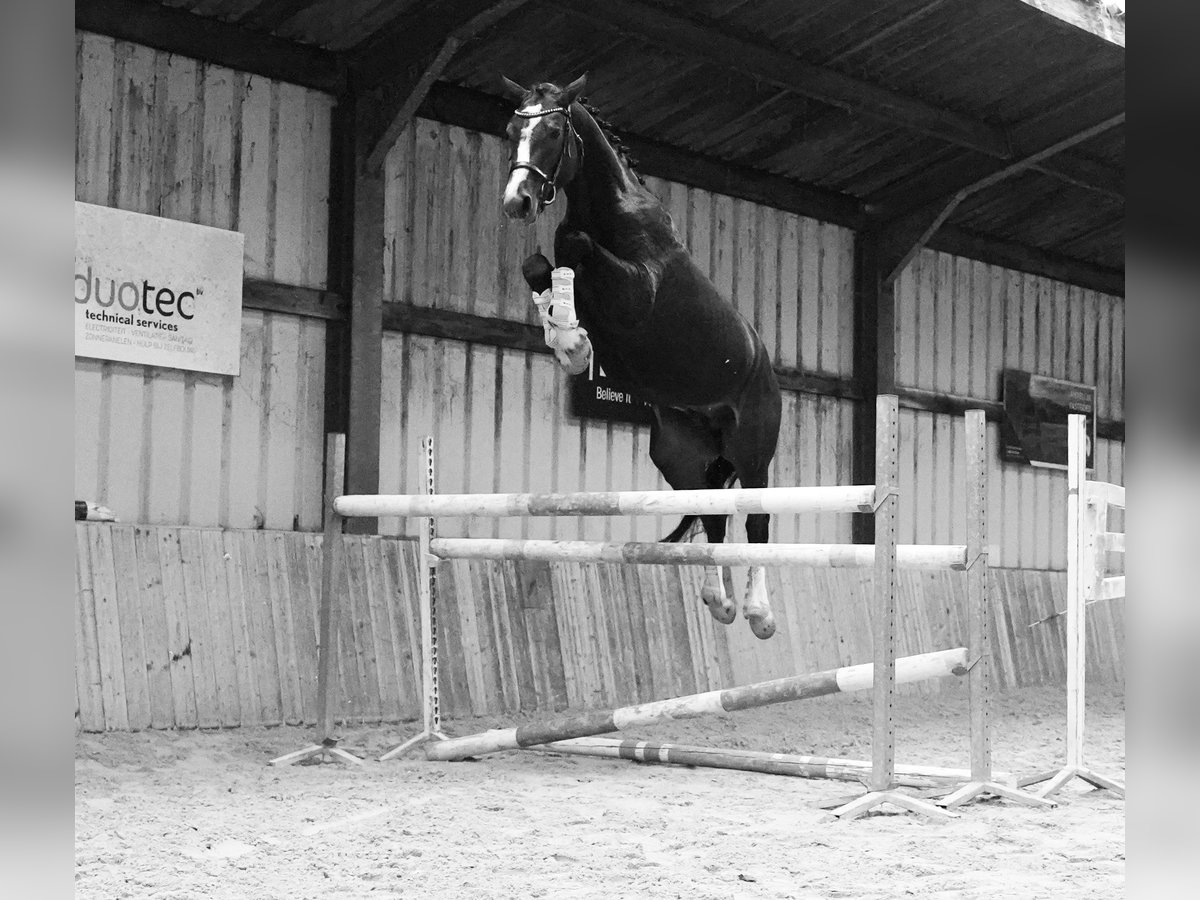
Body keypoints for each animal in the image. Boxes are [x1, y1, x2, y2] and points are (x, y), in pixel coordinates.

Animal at [501, 75, 782, 643]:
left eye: (554, 130)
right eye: (511, 130)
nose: (516, 201)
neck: (612, 211)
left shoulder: (636, 295)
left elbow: (570, 242)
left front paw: (572, 341)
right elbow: (539, 263)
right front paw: (569, 341)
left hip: (752, 448)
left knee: (755, 519)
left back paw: (759, 613)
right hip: (682, 456)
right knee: (712, 513)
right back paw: (718, 601)